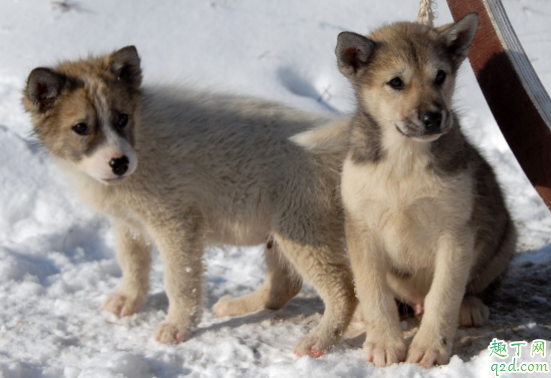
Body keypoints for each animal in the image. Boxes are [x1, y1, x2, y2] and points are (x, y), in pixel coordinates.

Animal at [22, 47, 358, 358]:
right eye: (81, 127)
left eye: (122, 118)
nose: (119, 163)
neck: (141, 141)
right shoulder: (128, 223)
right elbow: (132, 262)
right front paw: (128, 299)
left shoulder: (176, 225)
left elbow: (179, 281)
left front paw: (177, 326)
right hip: (283, 230)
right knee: (285, 285)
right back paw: (239, 306)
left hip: (302, 229)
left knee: (344, 291)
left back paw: (319, 341)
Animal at [294, 14, 516, 366]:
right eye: (396, 82)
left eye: (440, 76)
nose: (434, 117)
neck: (403, 160)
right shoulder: (362, 231)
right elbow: (374, 293)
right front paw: (384, 343)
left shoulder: (455, 234)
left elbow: (444, 296)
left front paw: (430, 348)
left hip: (505, 238)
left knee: (474, 288)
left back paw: (470, 306)